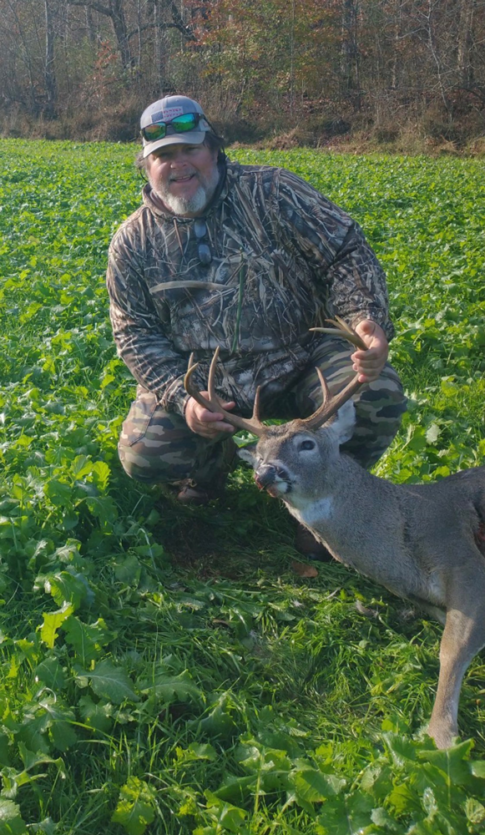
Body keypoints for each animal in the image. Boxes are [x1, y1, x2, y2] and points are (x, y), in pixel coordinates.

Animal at [184, 319, 485, 749]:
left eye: (306, 443)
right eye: (258, 457)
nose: (265, 474)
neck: (408, 532)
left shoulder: (464, 561)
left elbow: (453, 648)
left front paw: (442, 736)